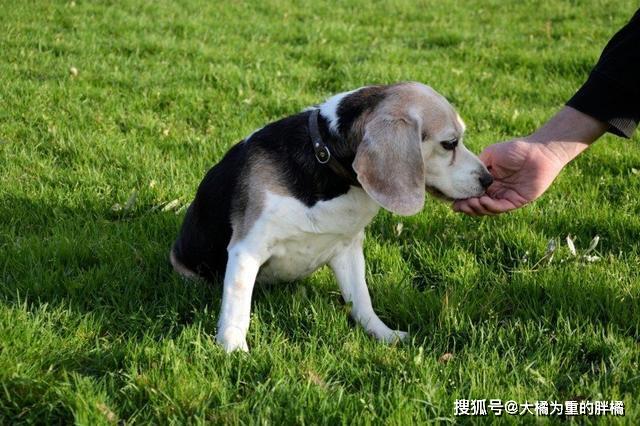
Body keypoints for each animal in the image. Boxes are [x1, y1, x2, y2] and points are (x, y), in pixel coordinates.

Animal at [169, 81, 490, 352]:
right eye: (450, 144)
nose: (488, 179)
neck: (323, 157)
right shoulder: (247, 249)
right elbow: (237, 306)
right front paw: (233, 350)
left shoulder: (348, 249)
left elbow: (362, 299)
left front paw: (383, 334)